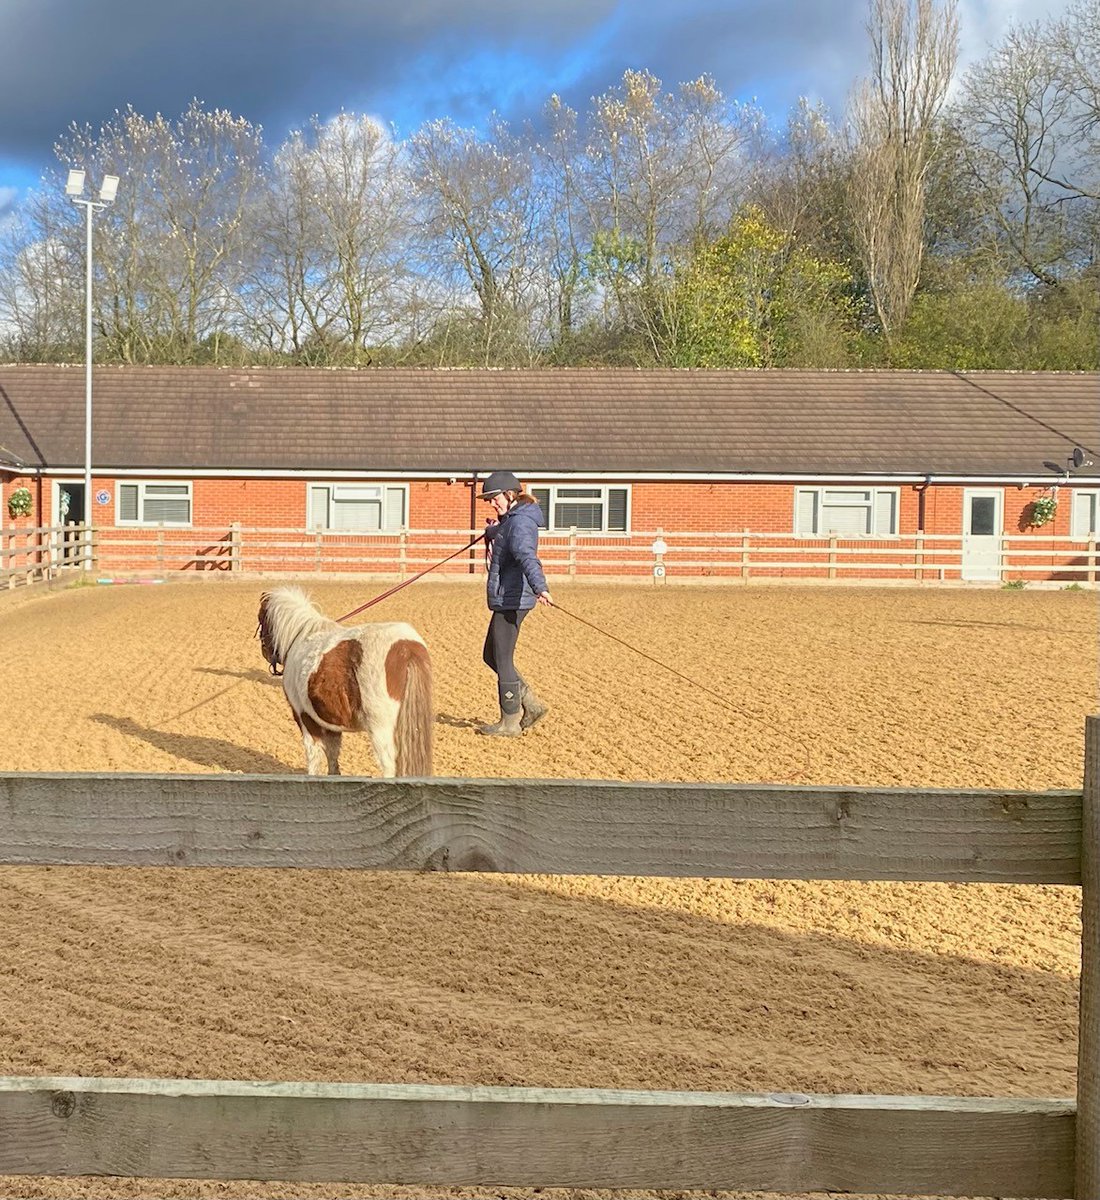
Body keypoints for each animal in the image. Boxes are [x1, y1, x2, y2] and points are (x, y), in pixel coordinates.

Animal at [255, 583, 431, 772]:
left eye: (261, 618)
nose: (265, 652)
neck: (300, 637)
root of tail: (407, 650)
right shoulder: (330, 723)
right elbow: (333, 757)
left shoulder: (305, 718)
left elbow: (314, 758)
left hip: (381, 732)